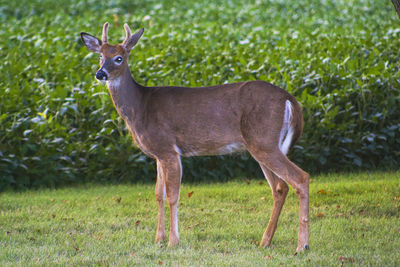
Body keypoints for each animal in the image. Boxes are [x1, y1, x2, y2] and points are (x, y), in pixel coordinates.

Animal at [81, 23, 310, 253]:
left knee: (301, 177)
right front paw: (158, 239)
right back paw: (265, 241)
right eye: (100, 56)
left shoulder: (169, 149)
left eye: (119, 57)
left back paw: (302, 246)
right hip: (264, 144)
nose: (100, 73)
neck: (140, 107)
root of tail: (290, 100)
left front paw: (173, 241)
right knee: (280, 187)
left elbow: (173, 195)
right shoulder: (158, 154)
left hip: (264, 141)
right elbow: (158, 194)